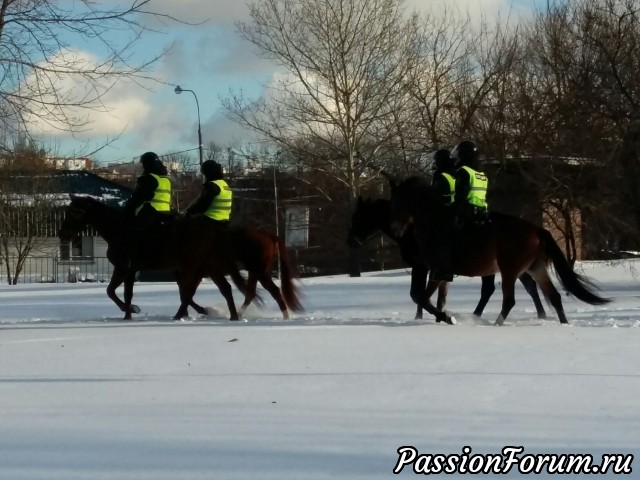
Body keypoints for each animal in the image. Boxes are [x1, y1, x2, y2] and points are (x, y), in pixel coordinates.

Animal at [58, 193, 248, 320]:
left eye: (74, 213)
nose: (62, 234)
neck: (119, 229)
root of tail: (214, 227)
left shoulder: (126, 268)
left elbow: (122, 292)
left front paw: (130, 311)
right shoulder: (123, 268)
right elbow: (114, 291)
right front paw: (129, 312)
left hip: (193, 266)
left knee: (189, 291)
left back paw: (183, 315)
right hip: (208, 265)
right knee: (222, 289)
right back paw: (231, 315)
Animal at [384, 176, 608, 326]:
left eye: (395, 202)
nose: (394, 228)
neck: (434, 222)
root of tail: (536, 229)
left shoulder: (437, 271)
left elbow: (421, 297)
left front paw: (447, 318)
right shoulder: (439, 273)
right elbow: (431, 298)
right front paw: (443, 317)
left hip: (510, 270)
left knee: (509, 300)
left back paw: (496, 324)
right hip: (535, 269)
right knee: (553, 296)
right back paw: (563, 324)